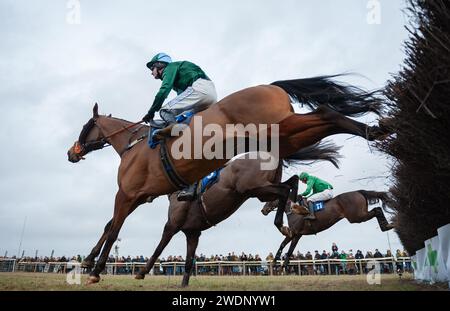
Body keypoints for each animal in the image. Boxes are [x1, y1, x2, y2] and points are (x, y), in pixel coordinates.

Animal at [260, 190, 394, 268]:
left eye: (271, 198)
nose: (263, 210)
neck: (294, 210)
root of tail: (358, 192)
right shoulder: (296, 234)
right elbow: (287, 247)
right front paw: (281, 264)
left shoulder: (294, 233)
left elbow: (286, 246)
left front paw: (279, 264)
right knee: (377, 209)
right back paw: (387, 225)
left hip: (357, 216)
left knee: (377, 210)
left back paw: (386, 226)